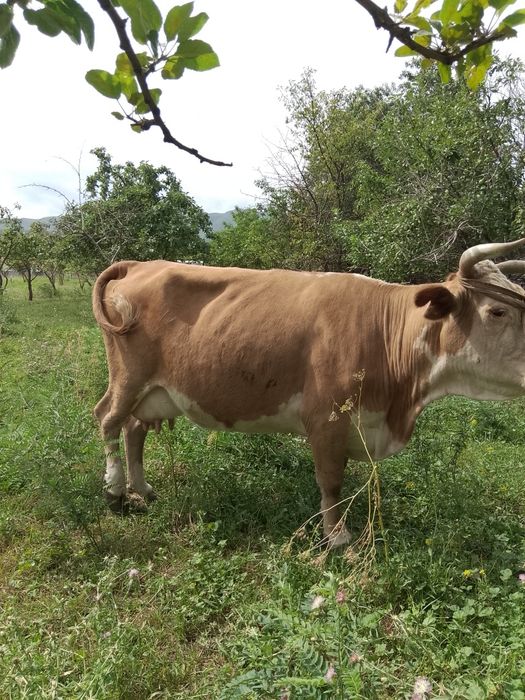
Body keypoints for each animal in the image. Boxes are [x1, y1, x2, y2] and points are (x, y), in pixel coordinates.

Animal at [92, 239, 525, 546]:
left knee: (133, 429)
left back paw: (142, 490)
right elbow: (331, 481)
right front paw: (337, 536)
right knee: (108, 419)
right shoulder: (327, 420)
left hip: (153, 391)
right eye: (497, 311)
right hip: (129, 377)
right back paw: (114, 494)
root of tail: (142, 263)